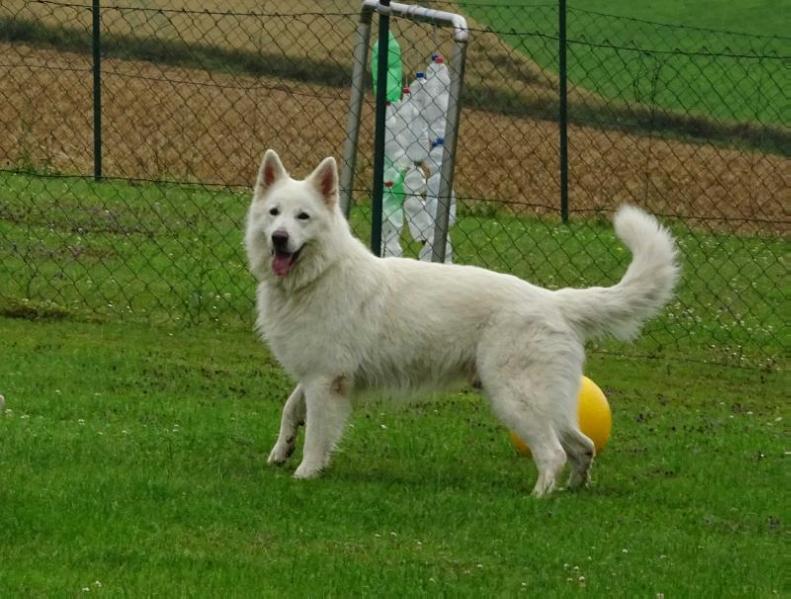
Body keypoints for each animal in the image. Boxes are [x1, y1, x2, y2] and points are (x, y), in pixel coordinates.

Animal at [248, 150, 680, 496]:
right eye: (274, 213)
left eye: (303, 217)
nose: (279, 238)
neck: (319, 274)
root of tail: (553, 301)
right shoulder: (316, 375)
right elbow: (291, 409)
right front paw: (281, 449)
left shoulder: (327, 381)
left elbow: (317, 436)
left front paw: (306, 473)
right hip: (546, 403)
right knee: (583, 446)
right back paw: (574, 489)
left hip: (514, 398)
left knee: (553, 453)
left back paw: (539, 497)